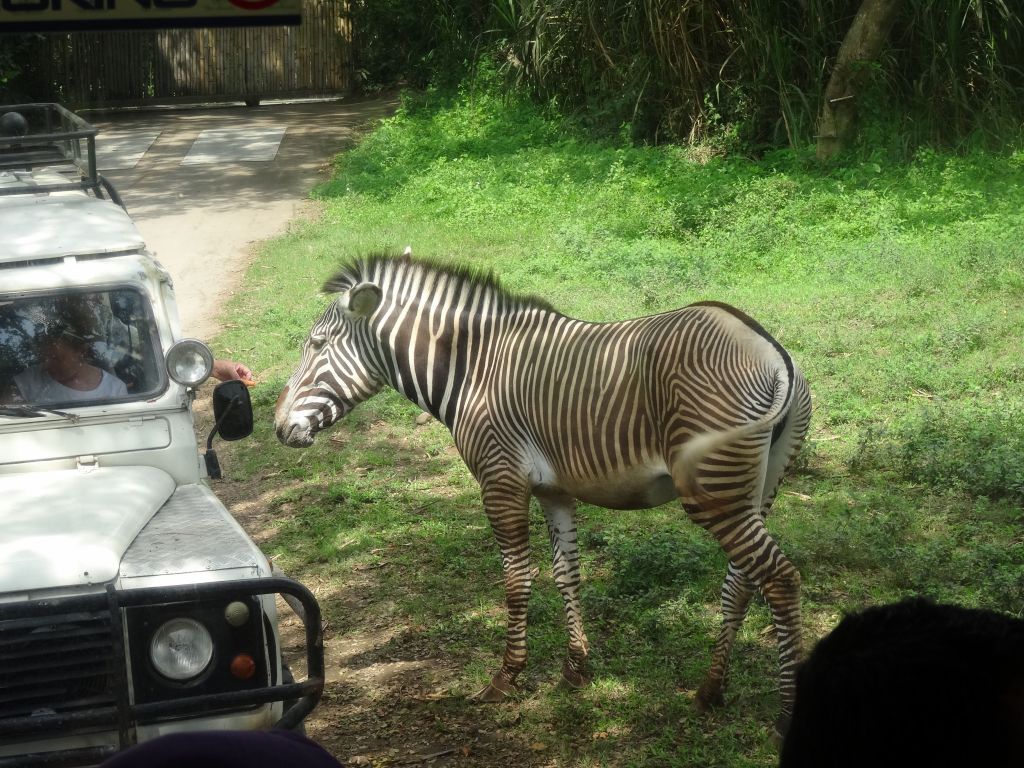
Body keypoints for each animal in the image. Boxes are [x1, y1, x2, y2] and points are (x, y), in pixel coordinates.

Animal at [276, 252, 811, 733]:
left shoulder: (500, 480)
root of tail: (772, 351)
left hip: (715, 492)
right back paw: (710, 690)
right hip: (757, 488)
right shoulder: (555, 490)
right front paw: (576, 670)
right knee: (743, 582)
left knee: (780, 579)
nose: (280, 428)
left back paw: (786, 713)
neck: (473, 368)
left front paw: (506, 678)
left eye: (316, 344)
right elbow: (565, 575)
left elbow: (517, 580)